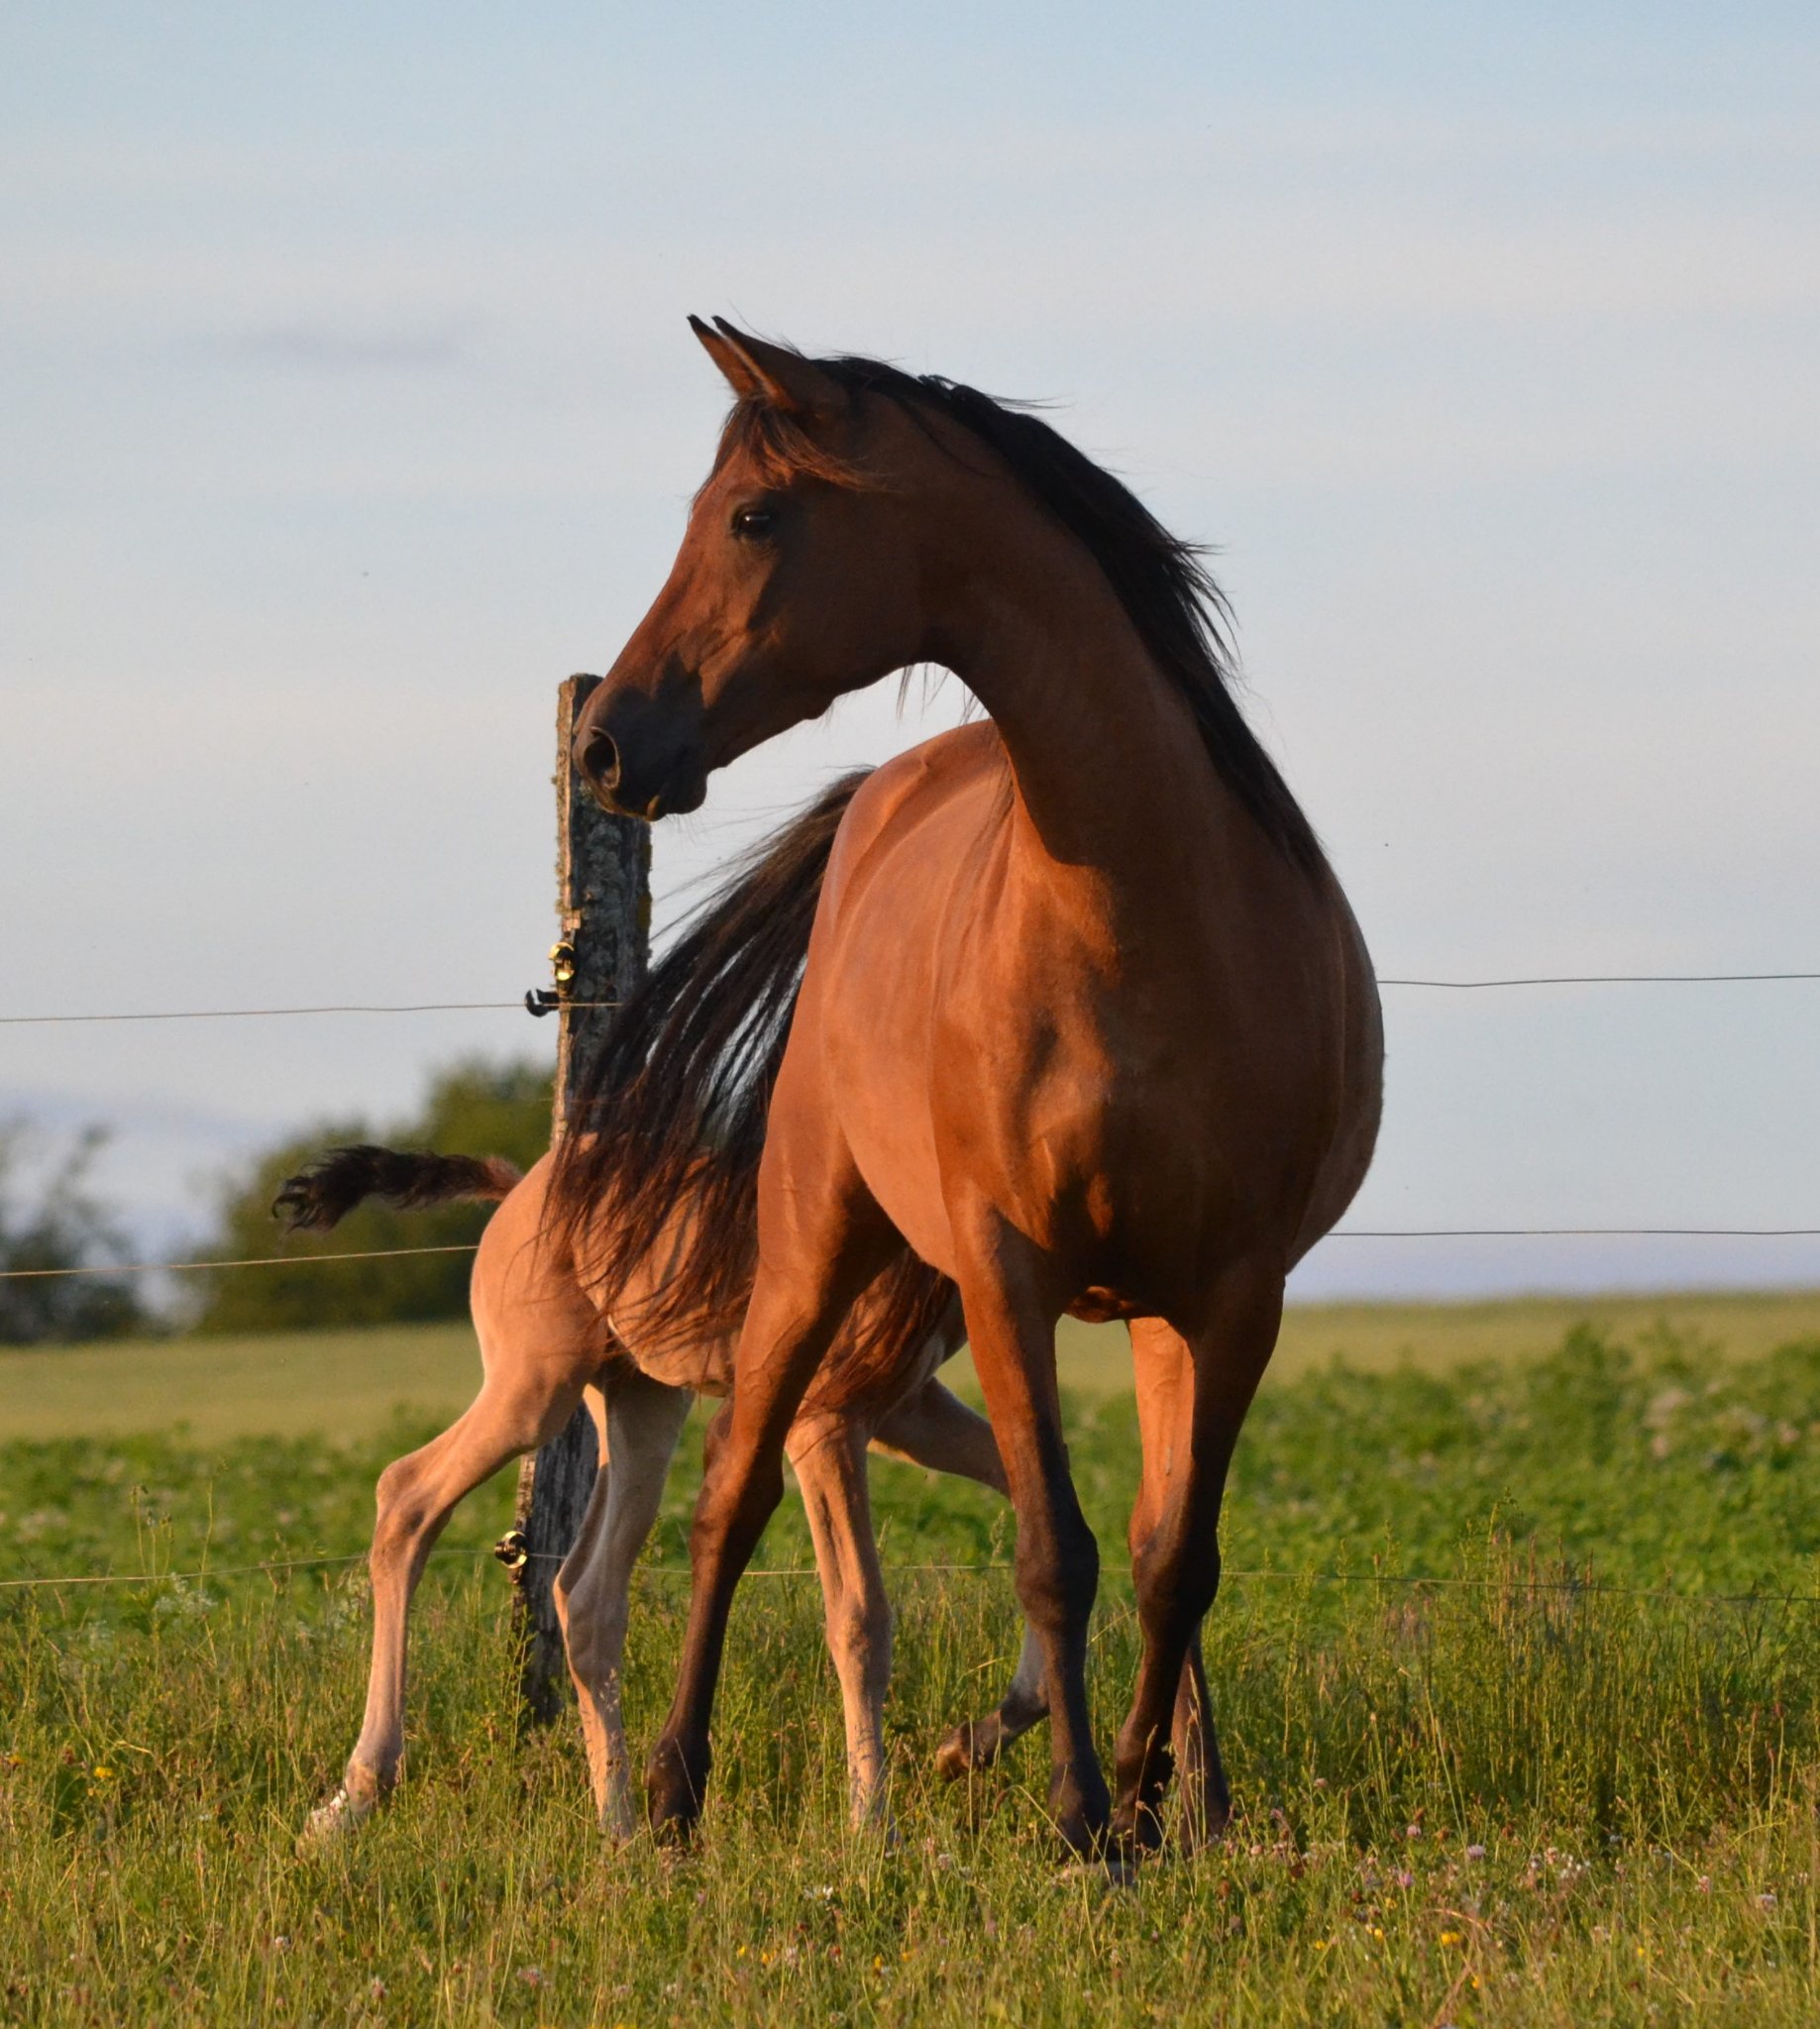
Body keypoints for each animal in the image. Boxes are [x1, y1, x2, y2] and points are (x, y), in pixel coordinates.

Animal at [285, 788, 1047, 1845]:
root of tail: (519, 1187)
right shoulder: (827, 1418)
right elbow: (859, 1615)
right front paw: (875, 1830)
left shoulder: (904, 1409)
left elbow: (1034, 1518)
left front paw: (974, 1742)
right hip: (534, 1387)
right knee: (408, 1497)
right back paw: (356, 1794)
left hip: (640, 1402)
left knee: (585, 1593)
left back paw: (619, 1829)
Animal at [556, 320, 1383, 1858]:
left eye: (751, 517)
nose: (607, 749)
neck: (1145, 917)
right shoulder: (1008, 1273)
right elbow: (1051, 1550)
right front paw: (1081, 1819)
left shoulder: (1236, 1292)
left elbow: (1175, 1560)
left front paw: (1143, 1808)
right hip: (813, 1244)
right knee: (728, 1500)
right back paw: (678, 1793)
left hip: (1152, 1314)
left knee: (1152, 1538)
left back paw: (1183, 1793)